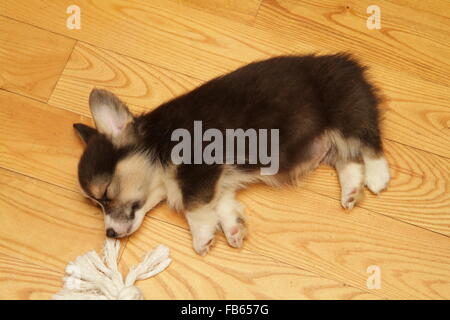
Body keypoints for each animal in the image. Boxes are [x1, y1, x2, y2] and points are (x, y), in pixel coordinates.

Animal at [74, 53, 390, 256]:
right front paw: (234, 229)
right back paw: (351, 192)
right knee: (349, 160)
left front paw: (202, 239)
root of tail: (350, 64)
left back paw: (377, 178)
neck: (159, 146)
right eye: (97, 203)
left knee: (369, 146)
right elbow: (221, 205)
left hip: (345, 115)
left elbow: (192, 205)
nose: (109, 234)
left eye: (106, 193)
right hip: (330, 142)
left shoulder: (199, 167)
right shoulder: (218, 181)